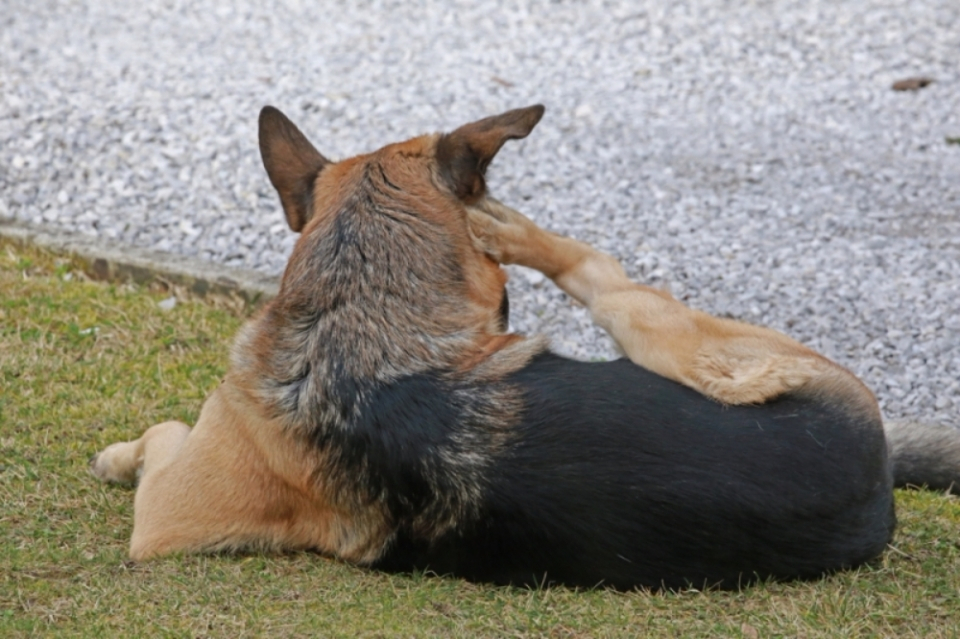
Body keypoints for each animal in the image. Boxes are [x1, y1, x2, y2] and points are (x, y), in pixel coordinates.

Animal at [92, 105, 960, 592]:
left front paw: (119, 452)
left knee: (606, 276)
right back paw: (508, 226)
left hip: (686, 340)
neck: (358, 319)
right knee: (605, 276)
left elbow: (165, 432)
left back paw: (506, 225)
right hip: (684, 342)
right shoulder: (171, 519)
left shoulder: (165, 515)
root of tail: (875, 481)